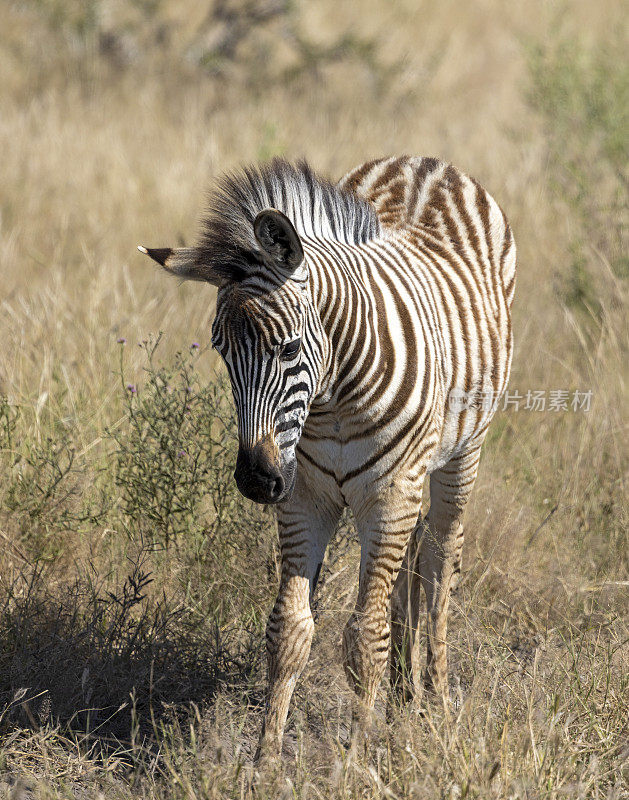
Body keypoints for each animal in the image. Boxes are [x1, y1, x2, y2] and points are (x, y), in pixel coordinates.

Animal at [139, 153, 516, 760]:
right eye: (220, 350)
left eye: (289, 347)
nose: (256, 480)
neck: (335, 397)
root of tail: (424, 162)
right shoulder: (306, 498)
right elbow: (290, 629)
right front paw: (264, 760)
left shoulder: (389, 496)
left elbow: (363, 637)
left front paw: (357, 761)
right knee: (411, 566)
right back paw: (403, 697)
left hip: (461, 456)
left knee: (440, 563)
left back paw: (435, 703)